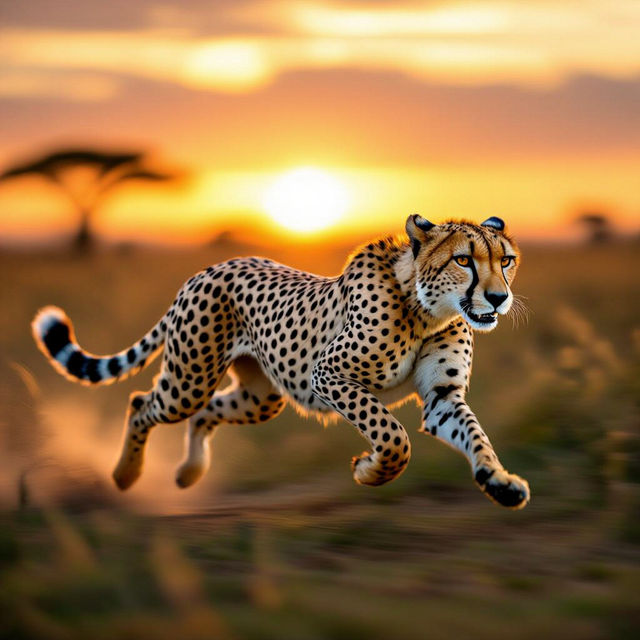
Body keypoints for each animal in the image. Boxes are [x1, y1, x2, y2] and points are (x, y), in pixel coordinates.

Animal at [32, 215, 530, 509]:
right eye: (463, 260)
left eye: (506, 260)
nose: (497, 298)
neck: (426, 309)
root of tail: (210, 268)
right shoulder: (328, 373)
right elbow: (392, 438)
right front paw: (369, 470)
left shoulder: (442, 395)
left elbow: (475, 436)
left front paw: (498, 480)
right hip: (189, 380)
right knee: (142, 403)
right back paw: (125, 474)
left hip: (259, 399)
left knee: (207, 414)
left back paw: (190, 472)